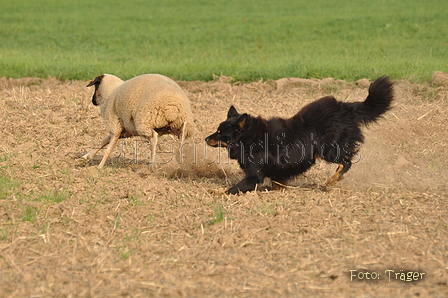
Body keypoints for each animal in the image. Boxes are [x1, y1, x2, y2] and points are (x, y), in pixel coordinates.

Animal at [205, 75, 394, 194]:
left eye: (220, 132)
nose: (205, 138)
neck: (249, 138)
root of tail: (345, 108)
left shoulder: (254, 175)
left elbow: (232, 189)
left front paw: (216, 193)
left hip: (328, 149)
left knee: (345, 163)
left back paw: (331, 182)